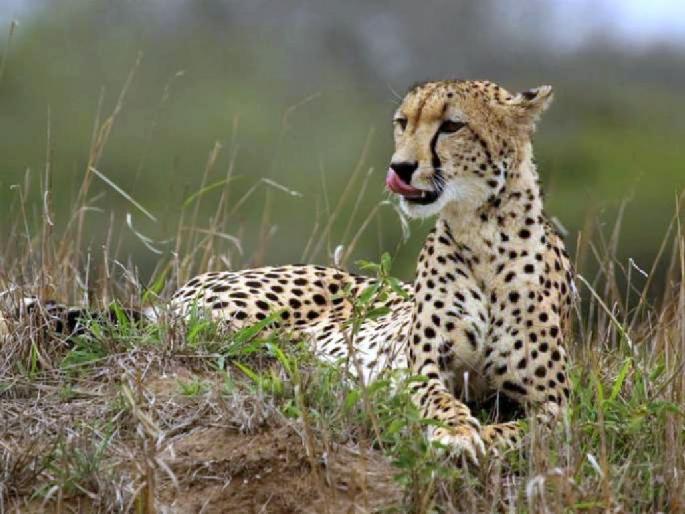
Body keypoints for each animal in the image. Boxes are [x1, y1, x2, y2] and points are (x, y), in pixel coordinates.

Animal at [0, 79, 575, 463]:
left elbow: (533, 432)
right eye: (403, 122)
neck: (484, 233)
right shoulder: (421, 367)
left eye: (452, 125)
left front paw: (485, 437)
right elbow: (439, 400)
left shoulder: (555, 403)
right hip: (228, 322)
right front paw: (457, 432)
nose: (400, 168)